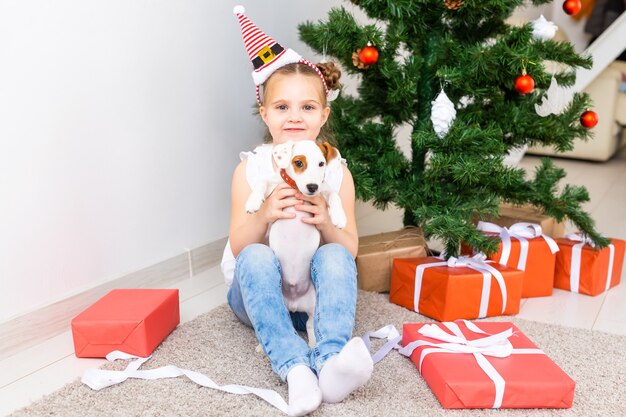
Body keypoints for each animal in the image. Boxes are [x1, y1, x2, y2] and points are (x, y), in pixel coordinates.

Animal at [244, 140, 346, 344]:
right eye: (299, 163)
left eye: (321, 164)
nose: (313, 186)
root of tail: (293, 303)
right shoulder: (273, 185)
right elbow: (262, 182)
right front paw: (253, 202)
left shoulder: (325, 190)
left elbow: (335, 195)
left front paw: (339, 216)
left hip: (314, 307)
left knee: (310, 325)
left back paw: (314, 345)